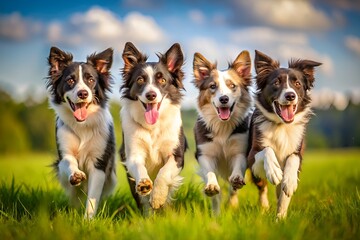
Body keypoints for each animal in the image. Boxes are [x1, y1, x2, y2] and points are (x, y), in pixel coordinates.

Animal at [47, 47, 116, 219]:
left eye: (90, 80)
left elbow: (93, 197)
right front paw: (76, 174)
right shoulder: (64, 152)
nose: (83, 93)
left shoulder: (99, 164)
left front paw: (88, 220)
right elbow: (69, 161)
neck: (82, 125)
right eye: (70, 80)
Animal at [119, 42, 187, 213]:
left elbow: (163, 173)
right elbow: (139, 167)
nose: (151, 95)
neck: (152, 127)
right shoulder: (132, 155)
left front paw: (158, 196)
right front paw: (144, 183)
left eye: (162, 80)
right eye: (140, 80)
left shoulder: (177, 156)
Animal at [248, 49, 320, 218]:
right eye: (276, 83)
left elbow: (293, 160)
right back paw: (264, 207)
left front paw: (280, 217)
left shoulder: (298, 152)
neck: (282, 126)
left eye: (297, 84)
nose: (290, 95)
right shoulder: (251, 157)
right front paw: (274, 170)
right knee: (262, 188)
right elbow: (267, 150)